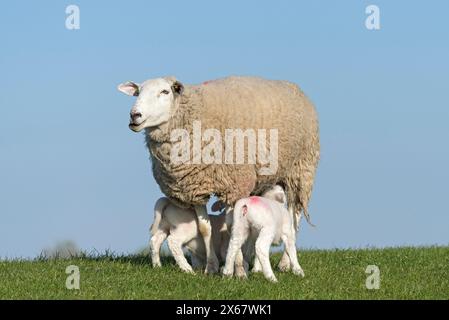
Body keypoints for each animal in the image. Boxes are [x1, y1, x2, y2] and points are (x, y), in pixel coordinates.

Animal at [115, 76, 318, 274]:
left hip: (300, 171)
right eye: (138, 92)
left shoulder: (234, 185)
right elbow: (205, 228)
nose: (134, 115)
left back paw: (285, 264)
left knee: (294, 218)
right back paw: (257, 267)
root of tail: (291, 85)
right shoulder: (195, 187)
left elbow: (233, 228)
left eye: (165, 91)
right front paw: (212, 266)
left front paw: (237, 269)